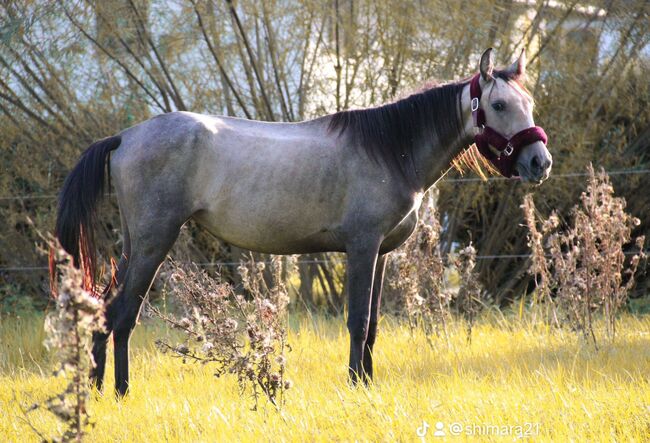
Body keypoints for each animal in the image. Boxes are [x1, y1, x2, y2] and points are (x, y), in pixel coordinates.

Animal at [54, 47, 548, 396]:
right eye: (499, 105)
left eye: (528, 102)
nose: (540, 163)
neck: (391, 150)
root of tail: (125, 136)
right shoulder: (362, 247)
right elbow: (357, 321)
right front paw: (355, 385)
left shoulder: (383, 254)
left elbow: (373, 325)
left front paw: (368, 383)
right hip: (153, 243)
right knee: (122, 315)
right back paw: (120, 393)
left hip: (134, 244)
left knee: (105, 312)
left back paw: (97, 392)